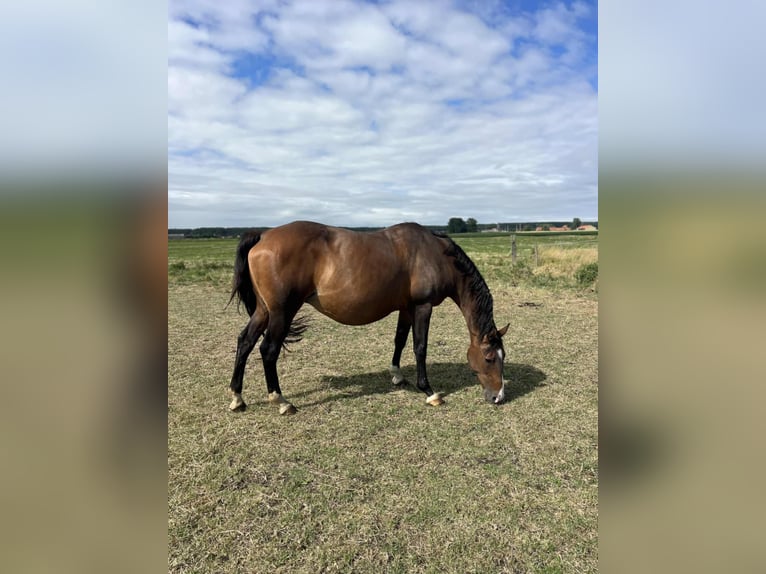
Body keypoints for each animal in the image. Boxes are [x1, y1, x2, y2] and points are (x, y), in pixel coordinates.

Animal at [227, 221, 509, 415]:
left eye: (502, 356)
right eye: (489, 358)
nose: (499, 396)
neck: (435, 254)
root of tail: (263, 235)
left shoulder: (406, 308)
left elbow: (399, 340)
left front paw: (397, 375)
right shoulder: (422, 307)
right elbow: (420, 347)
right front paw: (429, 391)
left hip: (264, 311)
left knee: (245, 342)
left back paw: (237, 398)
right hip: (281, 312)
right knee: (268, 350)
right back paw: (281, 401)